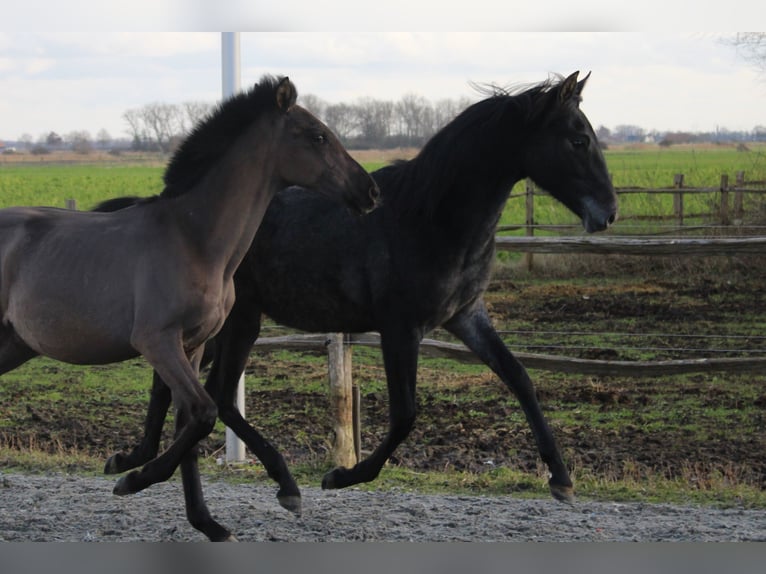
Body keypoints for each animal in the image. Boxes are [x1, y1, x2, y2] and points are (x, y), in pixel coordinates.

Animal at [0, 75, 380, 540]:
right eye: (318, 136)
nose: (370, 191)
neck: (193, 239)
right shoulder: (157, 342)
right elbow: (204, 412)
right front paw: (132, 479)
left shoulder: (193, 345)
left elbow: (190, 425)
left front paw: (208, 522)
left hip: (13, 344)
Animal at [102, 71, 616, 520]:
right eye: (577, 140)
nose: (608, 213)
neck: (430, 219)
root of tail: (168, 204)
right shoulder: (400, 328)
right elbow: (406, 414)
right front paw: (342, 475)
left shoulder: (467, 316)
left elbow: (520, 378)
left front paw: (561, 479)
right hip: (240, 321)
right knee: (217, 395)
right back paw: (257, 482)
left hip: (221, 327)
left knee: (185, 390)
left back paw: (134, 461)